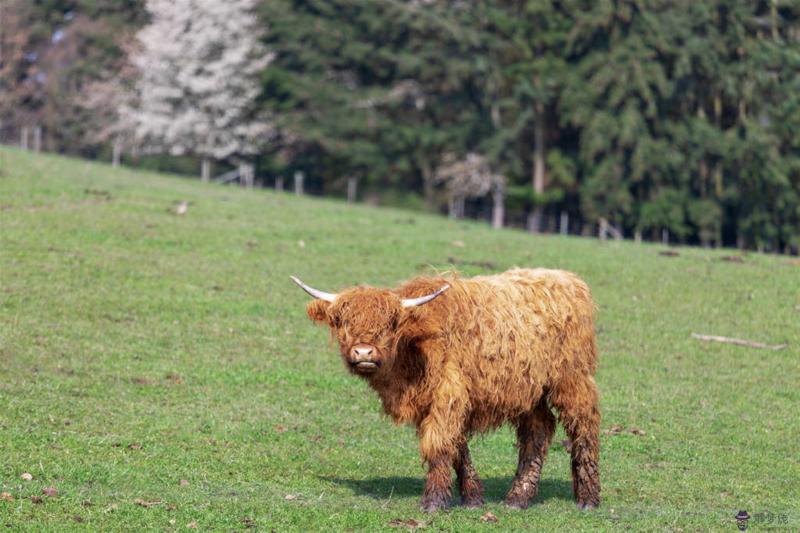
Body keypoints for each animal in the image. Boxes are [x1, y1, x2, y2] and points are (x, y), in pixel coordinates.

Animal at [294, 270, 600, 512]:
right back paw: (518, 497)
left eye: (391, 324)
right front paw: (473, 498)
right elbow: (457, 447)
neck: (414, 347)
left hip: (572, 379)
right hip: (530, 390)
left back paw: (588, 499)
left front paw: (434, 501)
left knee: (584, 425)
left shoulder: (448, 395)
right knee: (538, 429)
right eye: (342, 322)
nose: (363, 352)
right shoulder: (434, 402)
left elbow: (439, 443)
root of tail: (568, 279)